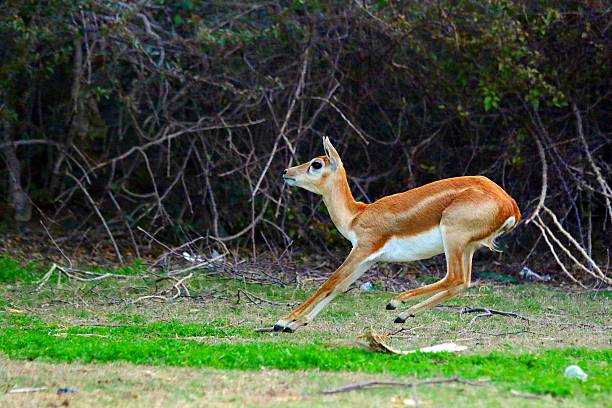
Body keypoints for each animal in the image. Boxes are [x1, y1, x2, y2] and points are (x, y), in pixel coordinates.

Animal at [274, 137, 520, 332]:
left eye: (316, 164)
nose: (286, 172)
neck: (356, 215)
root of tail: (510, 206)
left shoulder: (363, 248)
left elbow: (330, 281)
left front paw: (283, 322)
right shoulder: (370, 258)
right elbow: (341, 286)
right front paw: (296, 324)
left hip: (453, 237)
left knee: (454, 277)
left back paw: (395, 303)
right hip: (468, 246)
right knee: (463, 282)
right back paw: (402, 315)